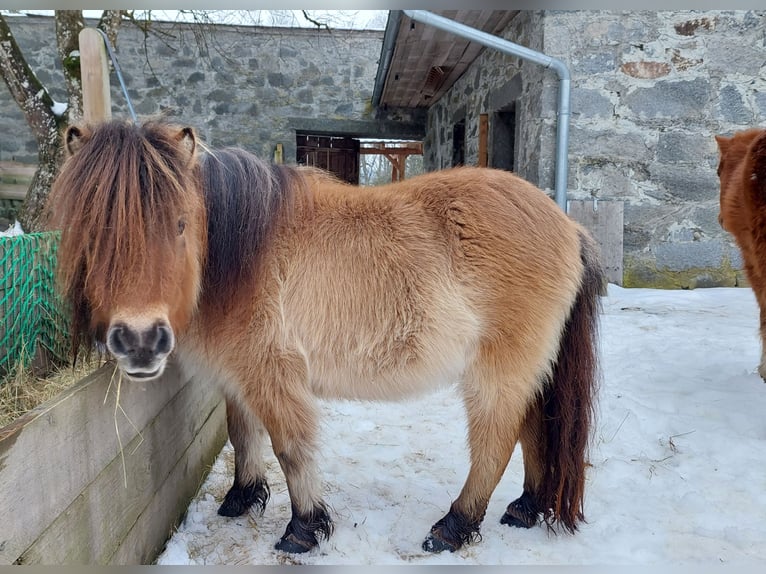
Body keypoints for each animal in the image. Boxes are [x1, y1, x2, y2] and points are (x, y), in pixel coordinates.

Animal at [48, 119, 608, 556]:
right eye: (92, 231)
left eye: (181, 225)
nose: (139, 340)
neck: (240, 253)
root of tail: (569, 228)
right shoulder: (238, 376)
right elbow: (242, 432)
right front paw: (241, 498)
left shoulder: (272, 375)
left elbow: (290, 448)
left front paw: (303, 528)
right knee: (535, 428)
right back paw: (525, 508)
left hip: (498, 370)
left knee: (496, 441)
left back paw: (453, 527)